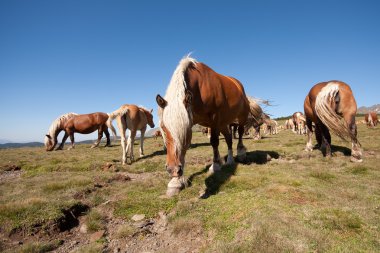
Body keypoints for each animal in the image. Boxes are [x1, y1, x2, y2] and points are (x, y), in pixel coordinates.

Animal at [154, 56, 262, 197]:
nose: (172, 169)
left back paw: (241, 153)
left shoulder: (213, 120)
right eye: (163, 128)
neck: (199, 88)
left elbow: (214, 142)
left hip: (240, 117)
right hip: (223, 123)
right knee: (229, 139)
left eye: (185, 129)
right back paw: (230, 160)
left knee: (240, 132)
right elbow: (181, 151)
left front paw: (215, 165)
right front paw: (175, 182)